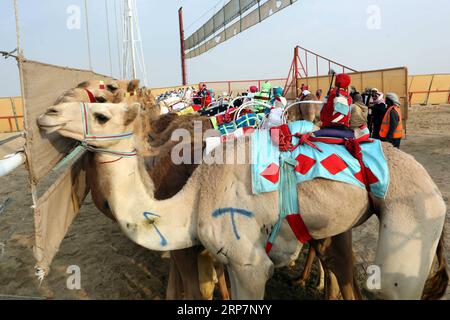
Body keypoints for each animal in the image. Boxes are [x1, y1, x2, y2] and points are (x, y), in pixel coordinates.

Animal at [37, 102, 446, 300]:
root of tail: (434, 187)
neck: (190, 199)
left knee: (391, 285)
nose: (49, 114)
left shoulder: (248, 264)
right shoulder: (224, 260)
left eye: (101, 113)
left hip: (411, 220)